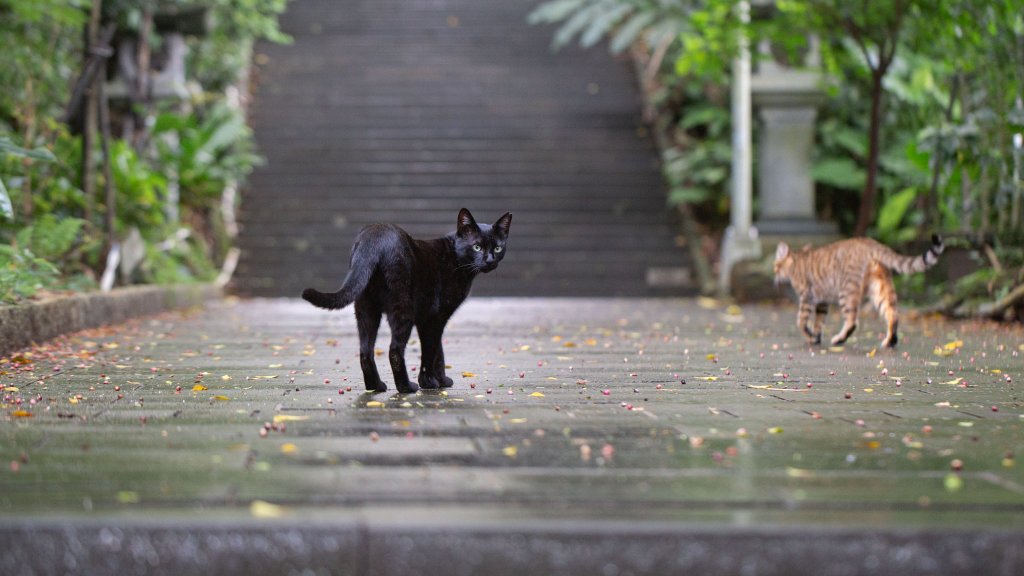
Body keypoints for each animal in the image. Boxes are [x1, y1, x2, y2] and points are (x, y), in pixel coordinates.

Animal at [301, 208, 512, 391]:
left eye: (498, 248)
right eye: (477, 247)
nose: (490, 261)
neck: (456, 260)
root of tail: (374, 237)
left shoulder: (428, 319)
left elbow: (439, 351)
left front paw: (442, 380)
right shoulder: (435, 317)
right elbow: (430, 352)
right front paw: (429, 382)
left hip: (365, 309)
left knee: (365, 351)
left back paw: (375, 386)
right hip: (402, 308)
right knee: (394, 350)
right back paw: (406, 387)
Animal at [774, 231, 942, 344]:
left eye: (775, 266)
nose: (775, 276)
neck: (795, 262)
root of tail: (869, 242)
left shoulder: (807, 296)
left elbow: (801, 321)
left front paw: (810, 336)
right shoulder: (822, 301)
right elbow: (819, 322)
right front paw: (815, 338)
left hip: (846, 291)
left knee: (852, 320)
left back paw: (839, 339)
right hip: (880, 289)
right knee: (892, 314)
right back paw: (890, 342)